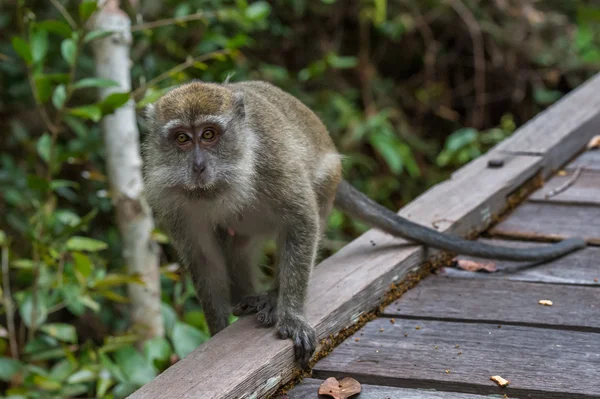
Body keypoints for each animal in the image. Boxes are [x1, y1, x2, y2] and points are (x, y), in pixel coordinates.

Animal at [139, 79, 580, 370]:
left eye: (210, 135)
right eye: (182, 139)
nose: (198, 167)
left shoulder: (272, 164)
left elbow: (301, 220)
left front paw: (290, 313)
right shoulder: (171, 202)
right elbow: (204, 259)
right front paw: (218, 331)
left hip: (327, 179)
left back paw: (272, 296)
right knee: (237, 245)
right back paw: (250, 297)